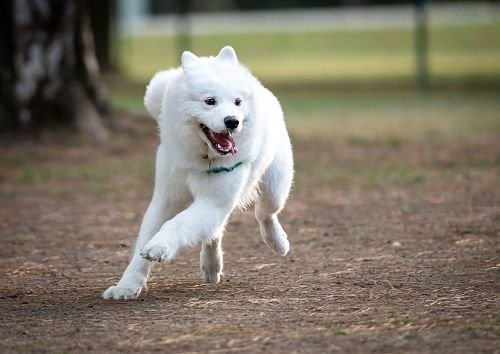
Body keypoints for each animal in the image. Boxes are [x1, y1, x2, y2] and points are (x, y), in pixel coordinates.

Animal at [103, 46, 294, 298]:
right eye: (210, 101)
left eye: (237, 102)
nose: (232, 121)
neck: (202, 157)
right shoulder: (166, 200)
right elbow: (142, 245)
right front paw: (127, 286)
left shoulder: (213, 202)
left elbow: (176, 224)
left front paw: (159, 246)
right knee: (215, 231)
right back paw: (211, 265)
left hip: (275, 188)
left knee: (265, 214)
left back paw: (278, 242)